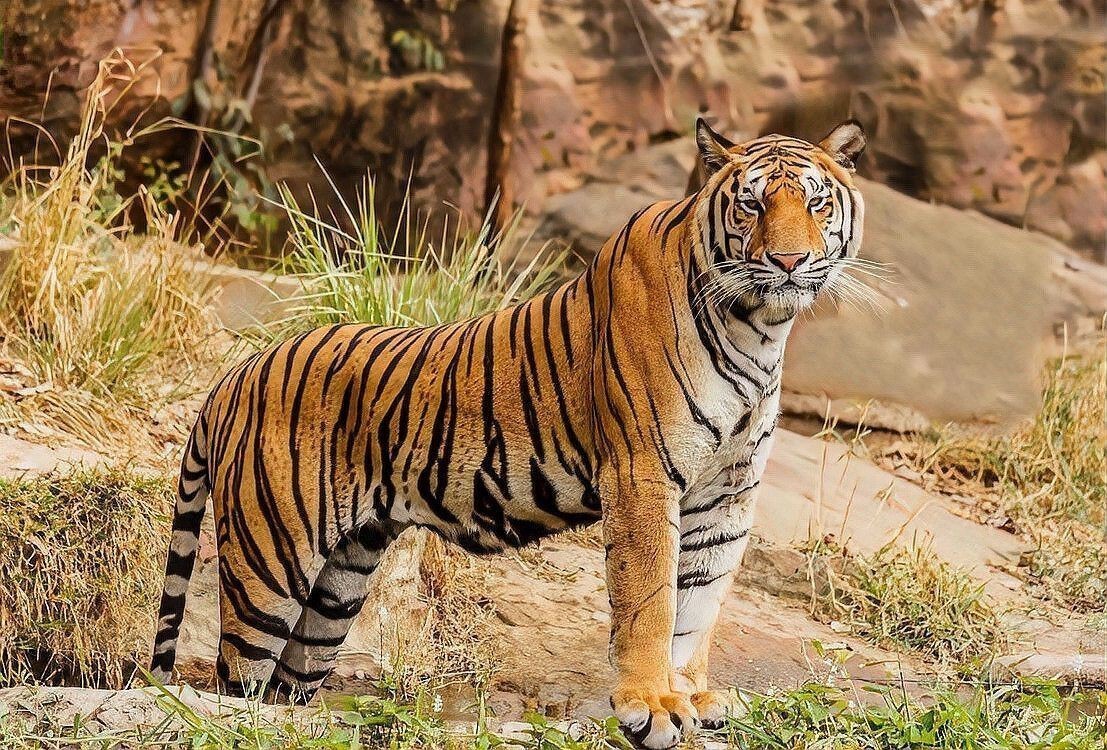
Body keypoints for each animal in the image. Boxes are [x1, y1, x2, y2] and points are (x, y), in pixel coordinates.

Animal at [150, 118, 865, 749]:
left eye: (815, 202)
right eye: (751, 204)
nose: (789, 260)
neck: (760, 329)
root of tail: (235, 373)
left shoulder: (727, 494)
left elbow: (700, 605)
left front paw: (689, 695)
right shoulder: (644, 475)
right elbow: (653, 601)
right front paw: (650, 706)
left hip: (337, 587)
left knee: (284, 690)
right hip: (269, 565)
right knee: (234, 684)